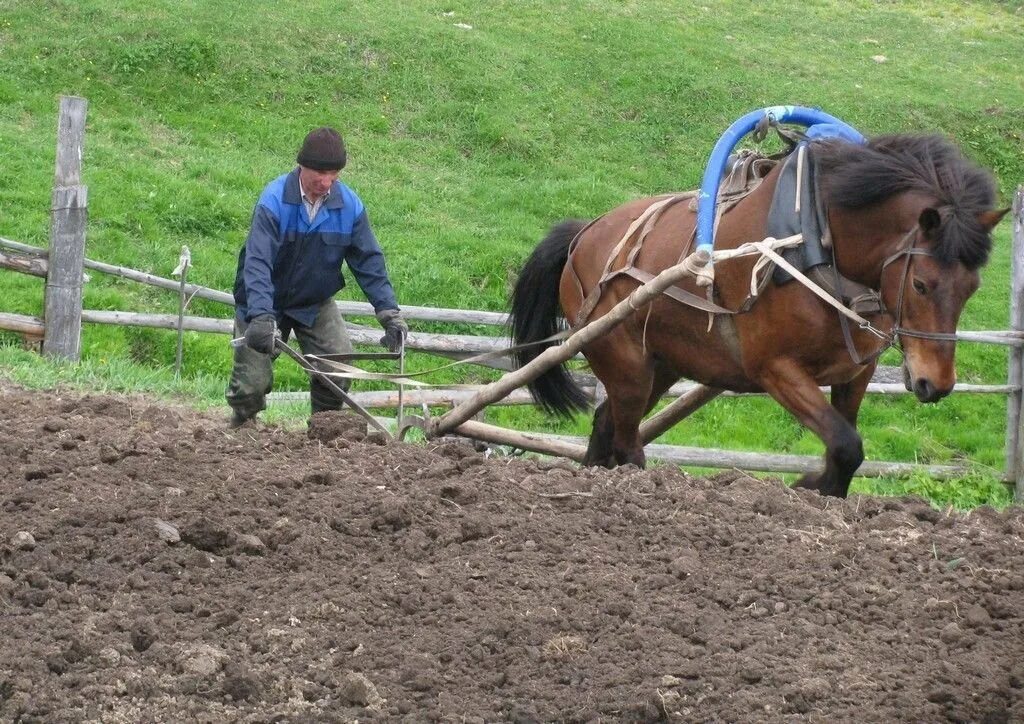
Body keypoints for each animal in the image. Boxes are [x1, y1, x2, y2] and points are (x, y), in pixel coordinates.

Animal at [507, 134, 1003, 497]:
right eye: (921, 284)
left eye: (972, 288)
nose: (935, 384)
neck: (814, 241)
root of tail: (584, 234)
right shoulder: (776, 369)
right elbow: (846, 445)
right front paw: (807, 484)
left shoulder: (856, 373)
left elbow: (844, 448)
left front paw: (821, 488)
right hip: (623, 362)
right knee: (627, 441)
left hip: (660, 367)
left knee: (605, 423)